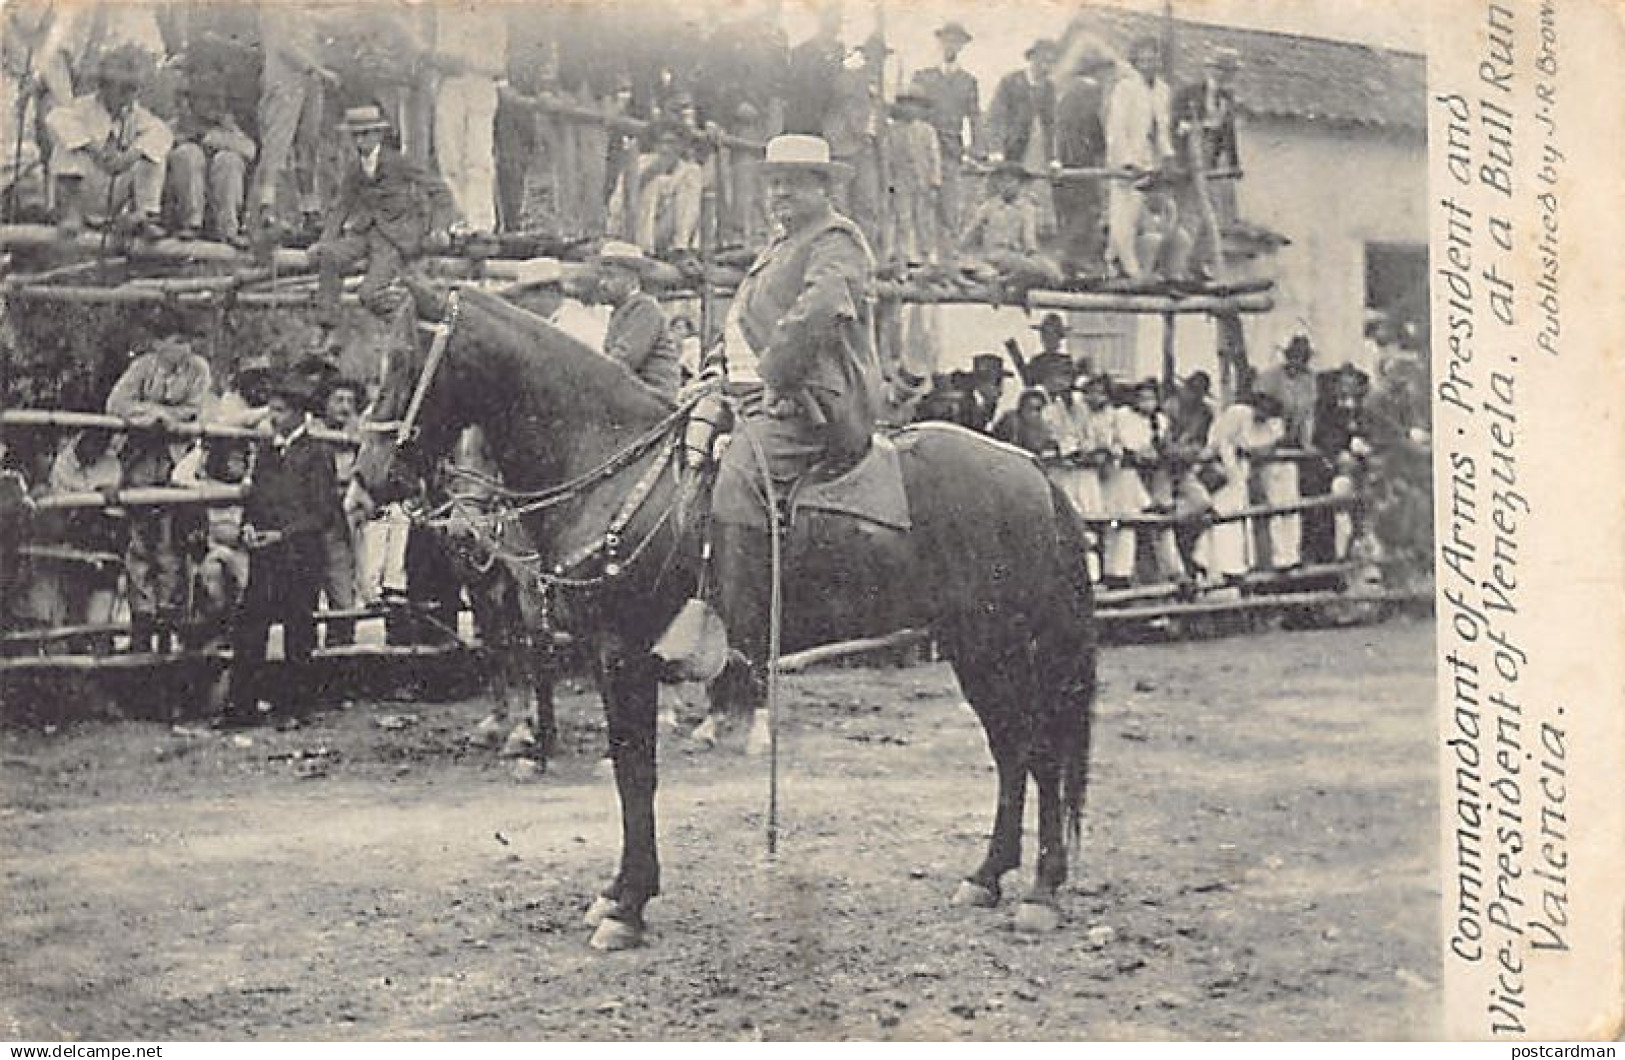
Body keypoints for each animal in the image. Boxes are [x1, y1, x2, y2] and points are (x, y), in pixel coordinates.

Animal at [349, 286, 1098, 949]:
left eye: (402, 364)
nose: (364, 481)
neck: (613, 466)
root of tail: (1033, 472)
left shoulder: (623, 652)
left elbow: (636, 772)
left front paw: (629, 906)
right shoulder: (605, 653)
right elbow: (628, 767)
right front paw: (618, 891)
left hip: (1002, 643)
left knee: (1037, 754)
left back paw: (1040, 892)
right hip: (974, 648)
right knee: (1011, 751)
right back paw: (988, 877)